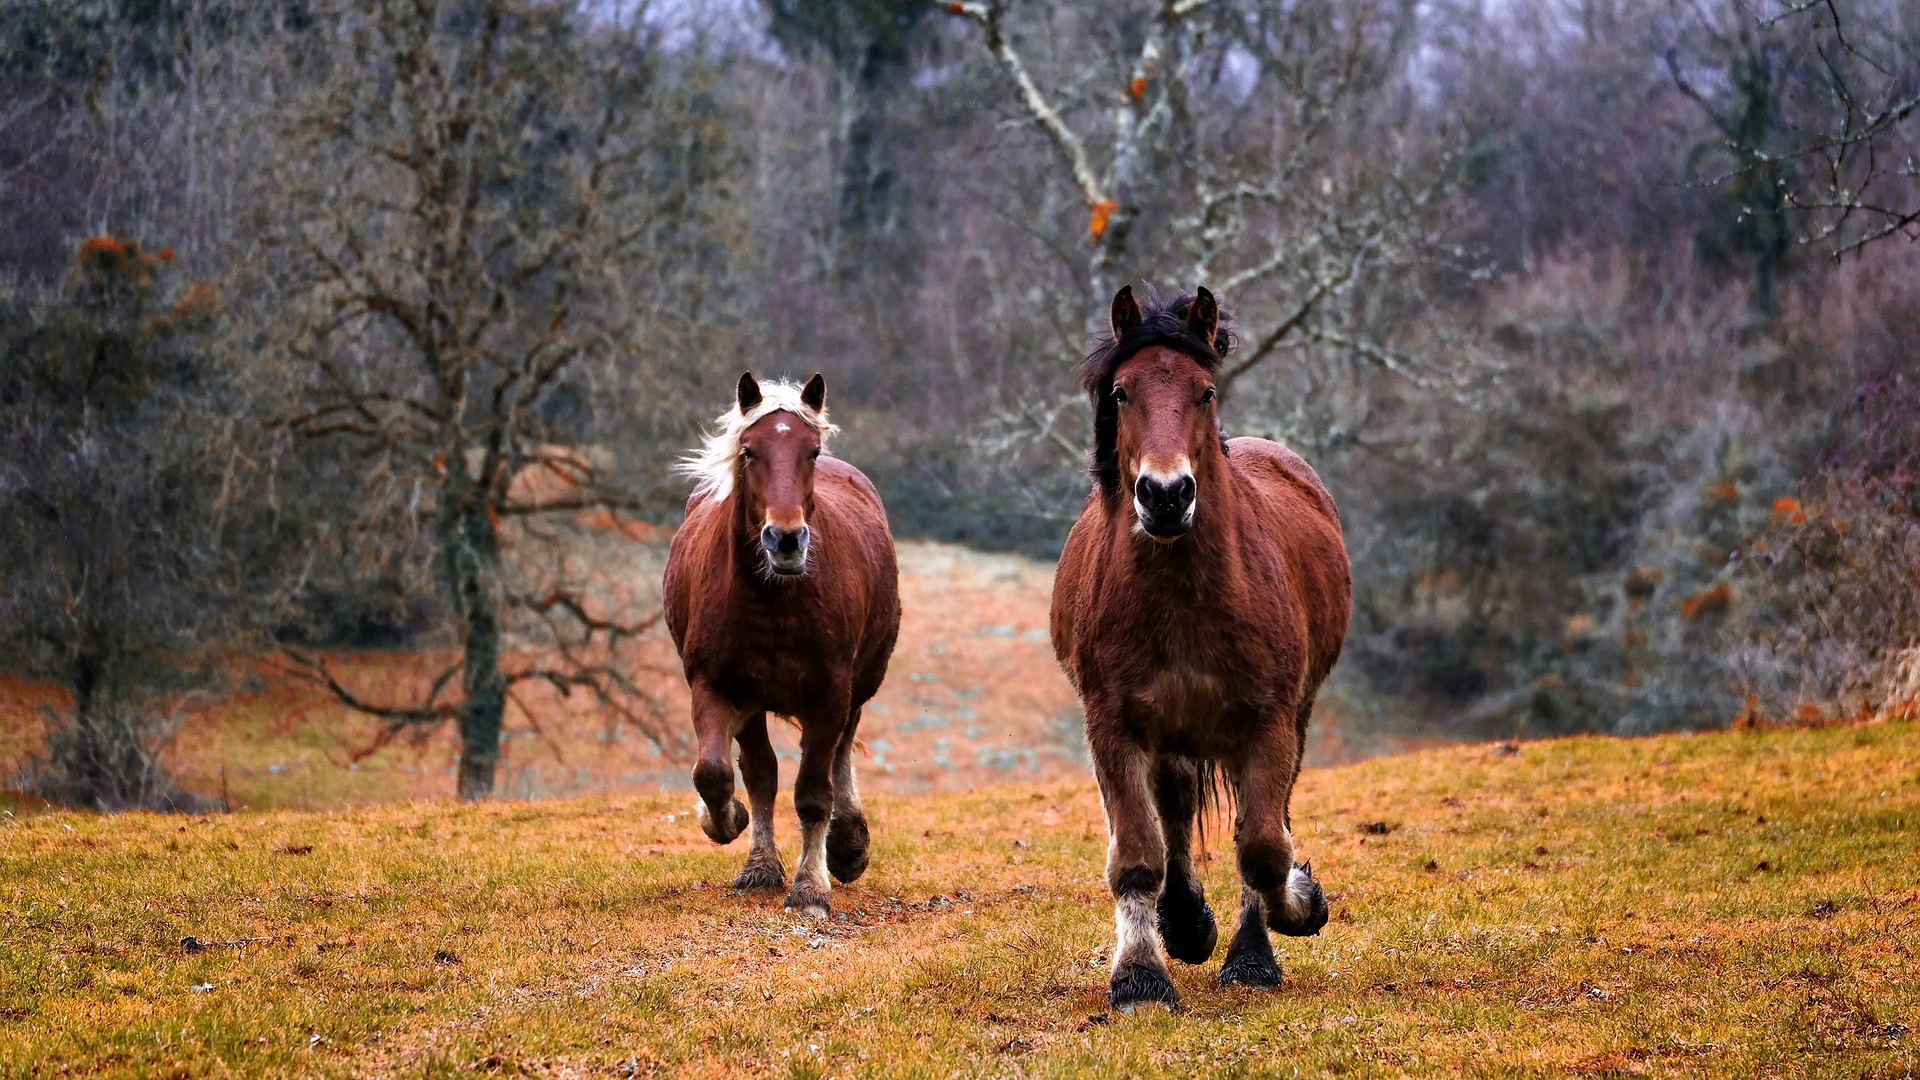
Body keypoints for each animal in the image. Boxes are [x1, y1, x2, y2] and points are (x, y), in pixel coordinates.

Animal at [663, 372, 901, 919]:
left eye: (810, 451)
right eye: (749, 451)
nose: (786, 540)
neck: (773, 600)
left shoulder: (830, 693)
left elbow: (813, 792)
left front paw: (811, 888)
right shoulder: (717, 686)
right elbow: (718, 774)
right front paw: (729, 826)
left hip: (859, 685)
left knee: (839, 754)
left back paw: (847, 845)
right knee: (761, 771)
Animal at [1050, 285, 1352, 1011]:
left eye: (1205, 391)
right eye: (1123, 392)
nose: (1165, 494)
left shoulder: (1268, 723)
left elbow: (1264, 847)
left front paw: (1291, 915)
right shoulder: (1113, 725)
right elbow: (1138, 853)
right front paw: (1140, 976)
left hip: (1285, 720)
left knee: (1255, 820)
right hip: (1172, 733)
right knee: (1176, 812)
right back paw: (1184, 923)